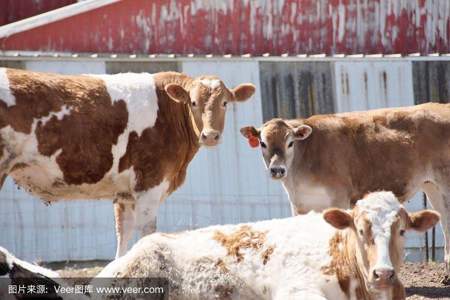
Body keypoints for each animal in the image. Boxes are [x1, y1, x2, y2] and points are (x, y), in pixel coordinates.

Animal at [0, 68, 255, 258]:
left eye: (225, 103)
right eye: (193, 102)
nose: (210, 135)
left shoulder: (124, 194)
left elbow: (123, 237)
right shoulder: (150, 185)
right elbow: (147, 234)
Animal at [241, 103, 450, 274]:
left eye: (290, 143)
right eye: (262, 143)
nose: (277, 169)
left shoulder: (338, 198)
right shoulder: (299, 204)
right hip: (431, 185)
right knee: (444, 218)